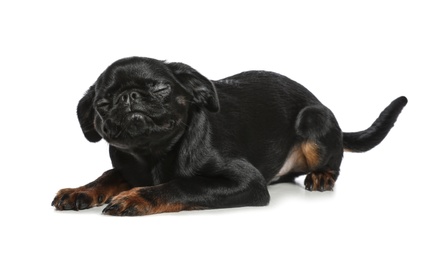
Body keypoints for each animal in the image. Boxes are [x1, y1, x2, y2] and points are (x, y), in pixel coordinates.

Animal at [52, 56, 408, 215]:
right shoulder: (126, 168)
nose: (128, 97)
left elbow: (183, 185)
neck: (154, 155)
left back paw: (322, 176)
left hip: (314, 120)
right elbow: (107, 176)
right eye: (102, 102)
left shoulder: (247, 182)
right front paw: (81, 190)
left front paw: (136, 197)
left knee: (333, 160)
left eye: (160, 88)